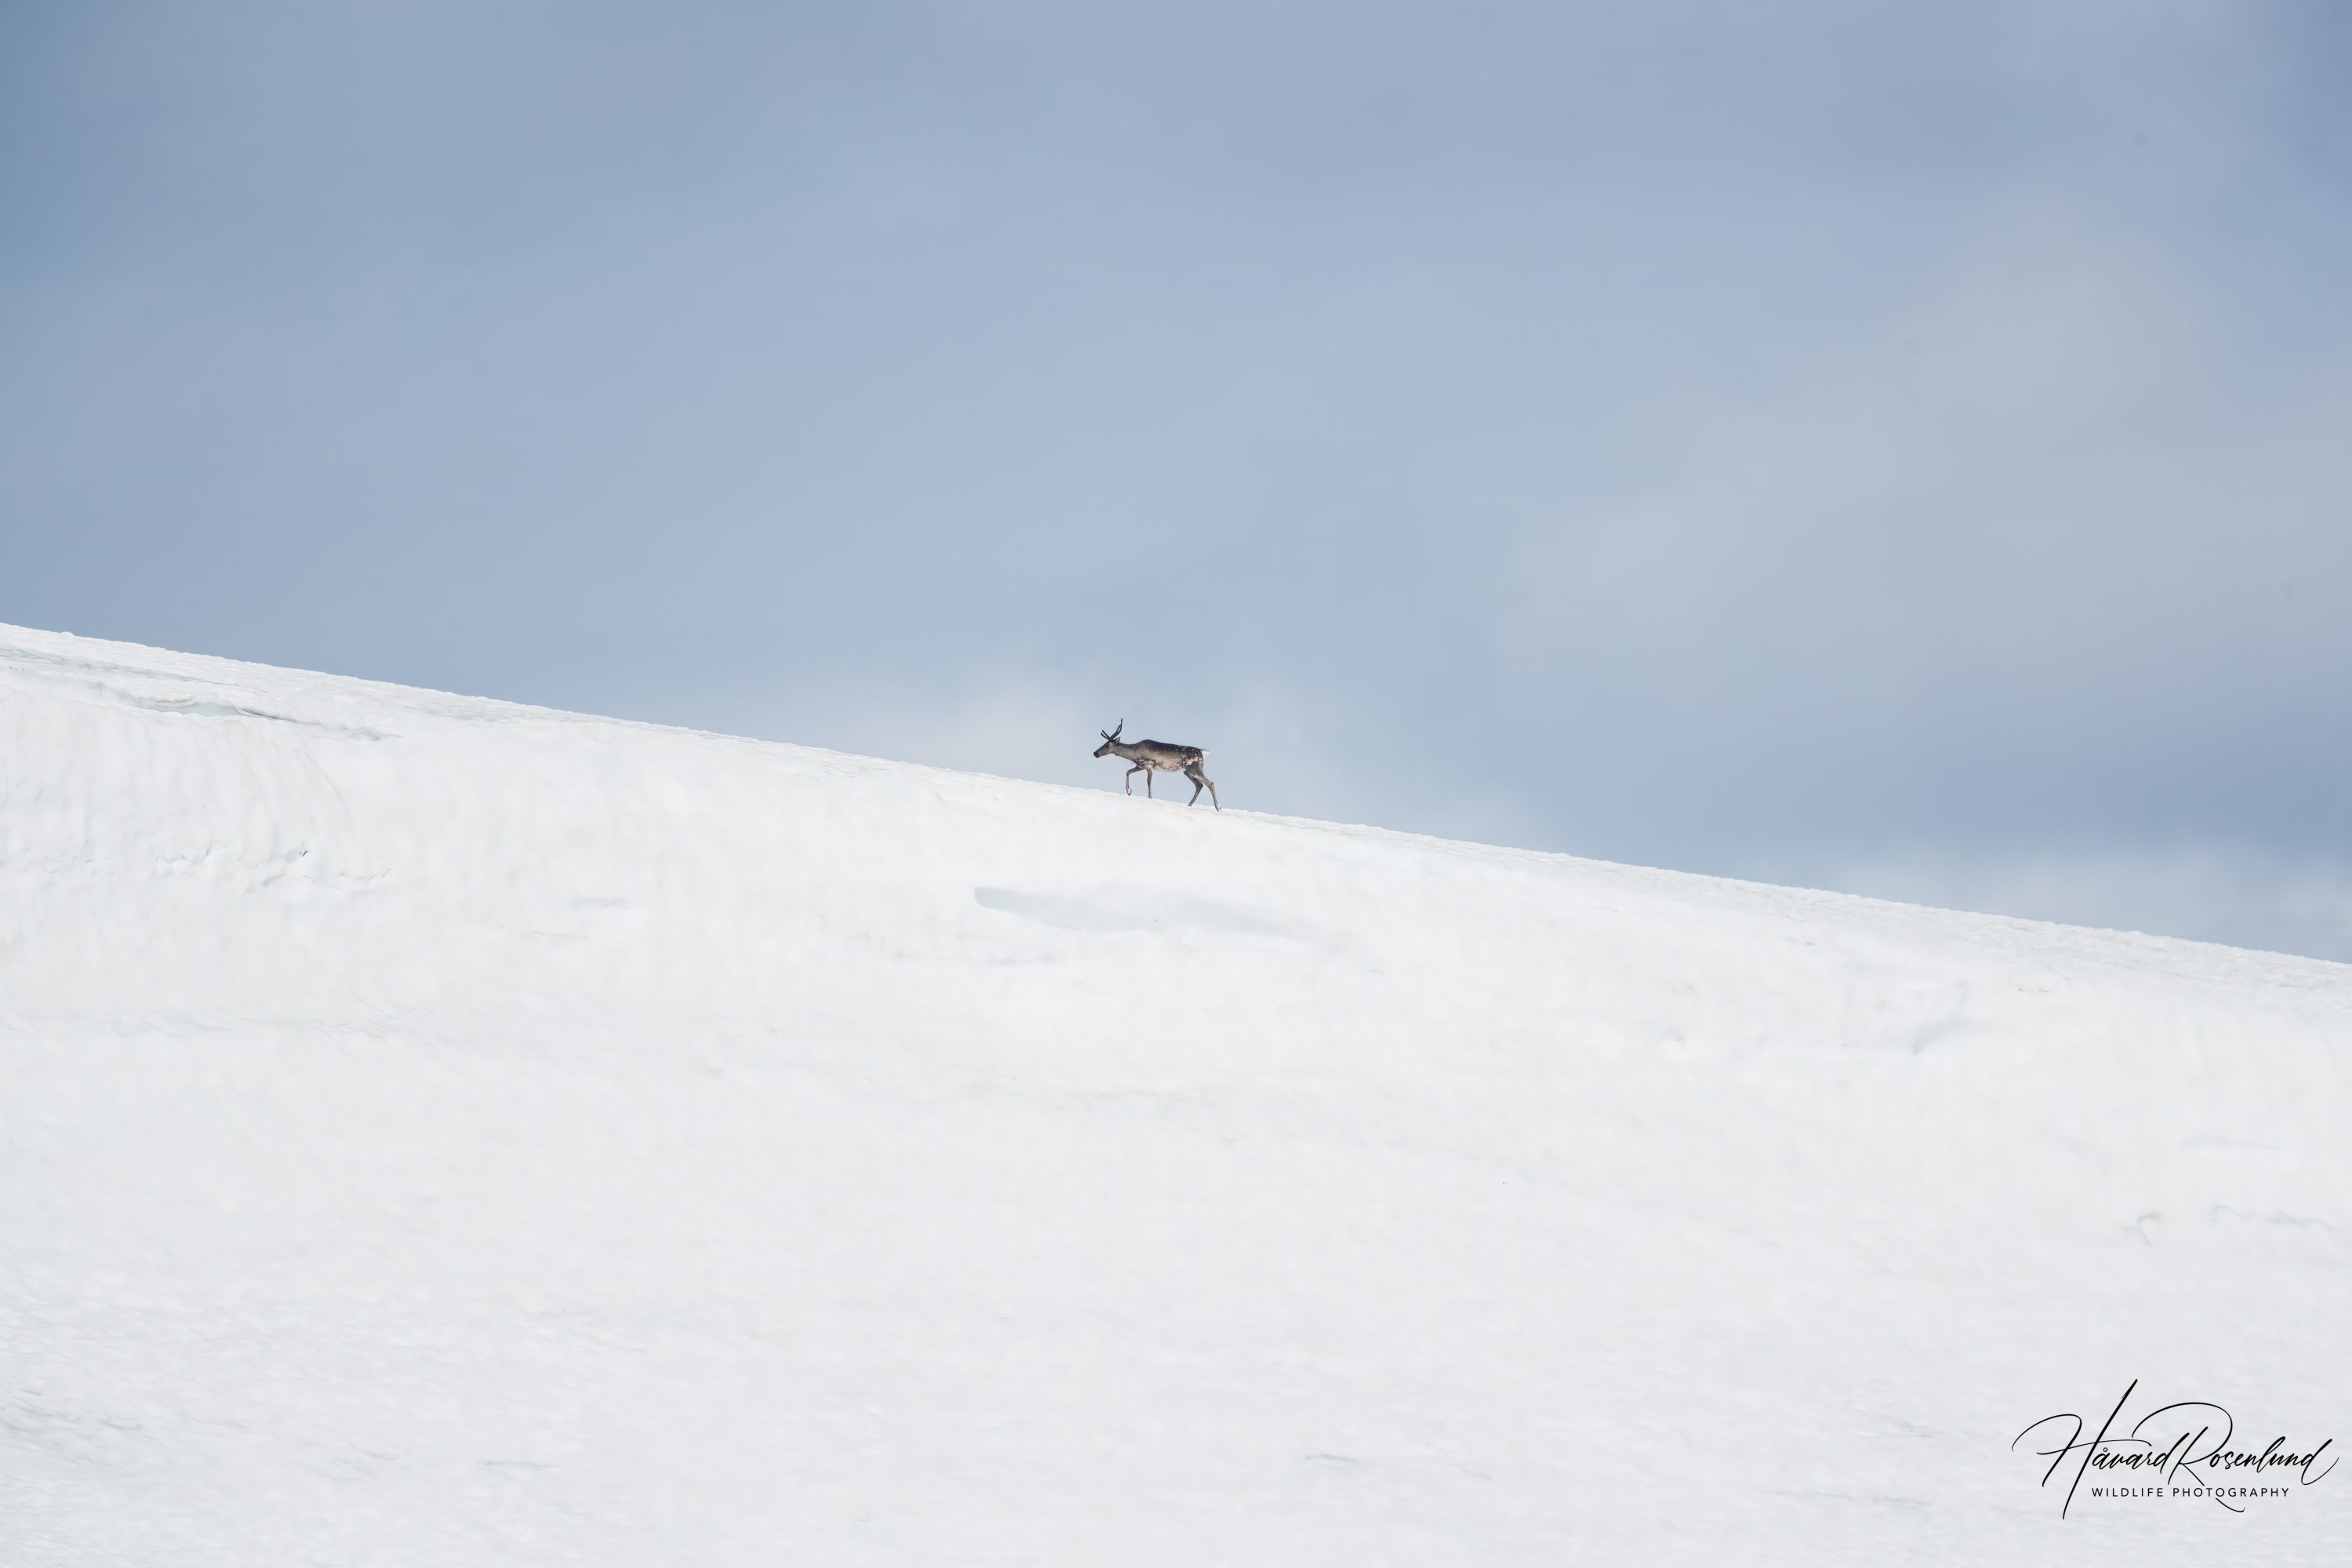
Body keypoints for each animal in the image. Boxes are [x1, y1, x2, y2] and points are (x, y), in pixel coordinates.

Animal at [1093, 721, 1220, 809]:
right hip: (1187, 771)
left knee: (1210, 783)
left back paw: (1217, 807)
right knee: (1199, 785)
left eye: (1107, 745)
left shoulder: (1149, 765)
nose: (1095, 753)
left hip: (1195, 768)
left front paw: (1150, 798)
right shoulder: (1140, 765)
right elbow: (1128, 772)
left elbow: (1148, 782)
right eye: (1104, 743)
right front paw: (1129, 791)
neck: (1134, 753)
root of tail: (1202, 752)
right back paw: (1189, 805)